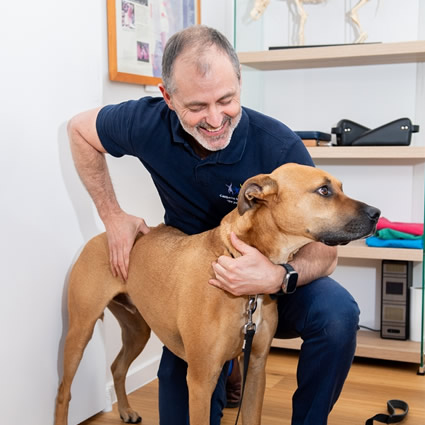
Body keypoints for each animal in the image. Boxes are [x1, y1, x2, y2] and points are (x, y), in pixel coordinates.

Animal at [54, 163, 380, 424]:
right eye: (324, 190)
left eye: (340, 187)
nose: (377, 213)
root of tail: (103, 235)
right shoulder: (201, 380)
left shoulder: (256, 367)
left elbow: (251, 417)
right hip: (80, 329)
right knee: (63, 391)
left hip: (137, 330)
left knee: (117, 367)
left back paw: (124, 410)